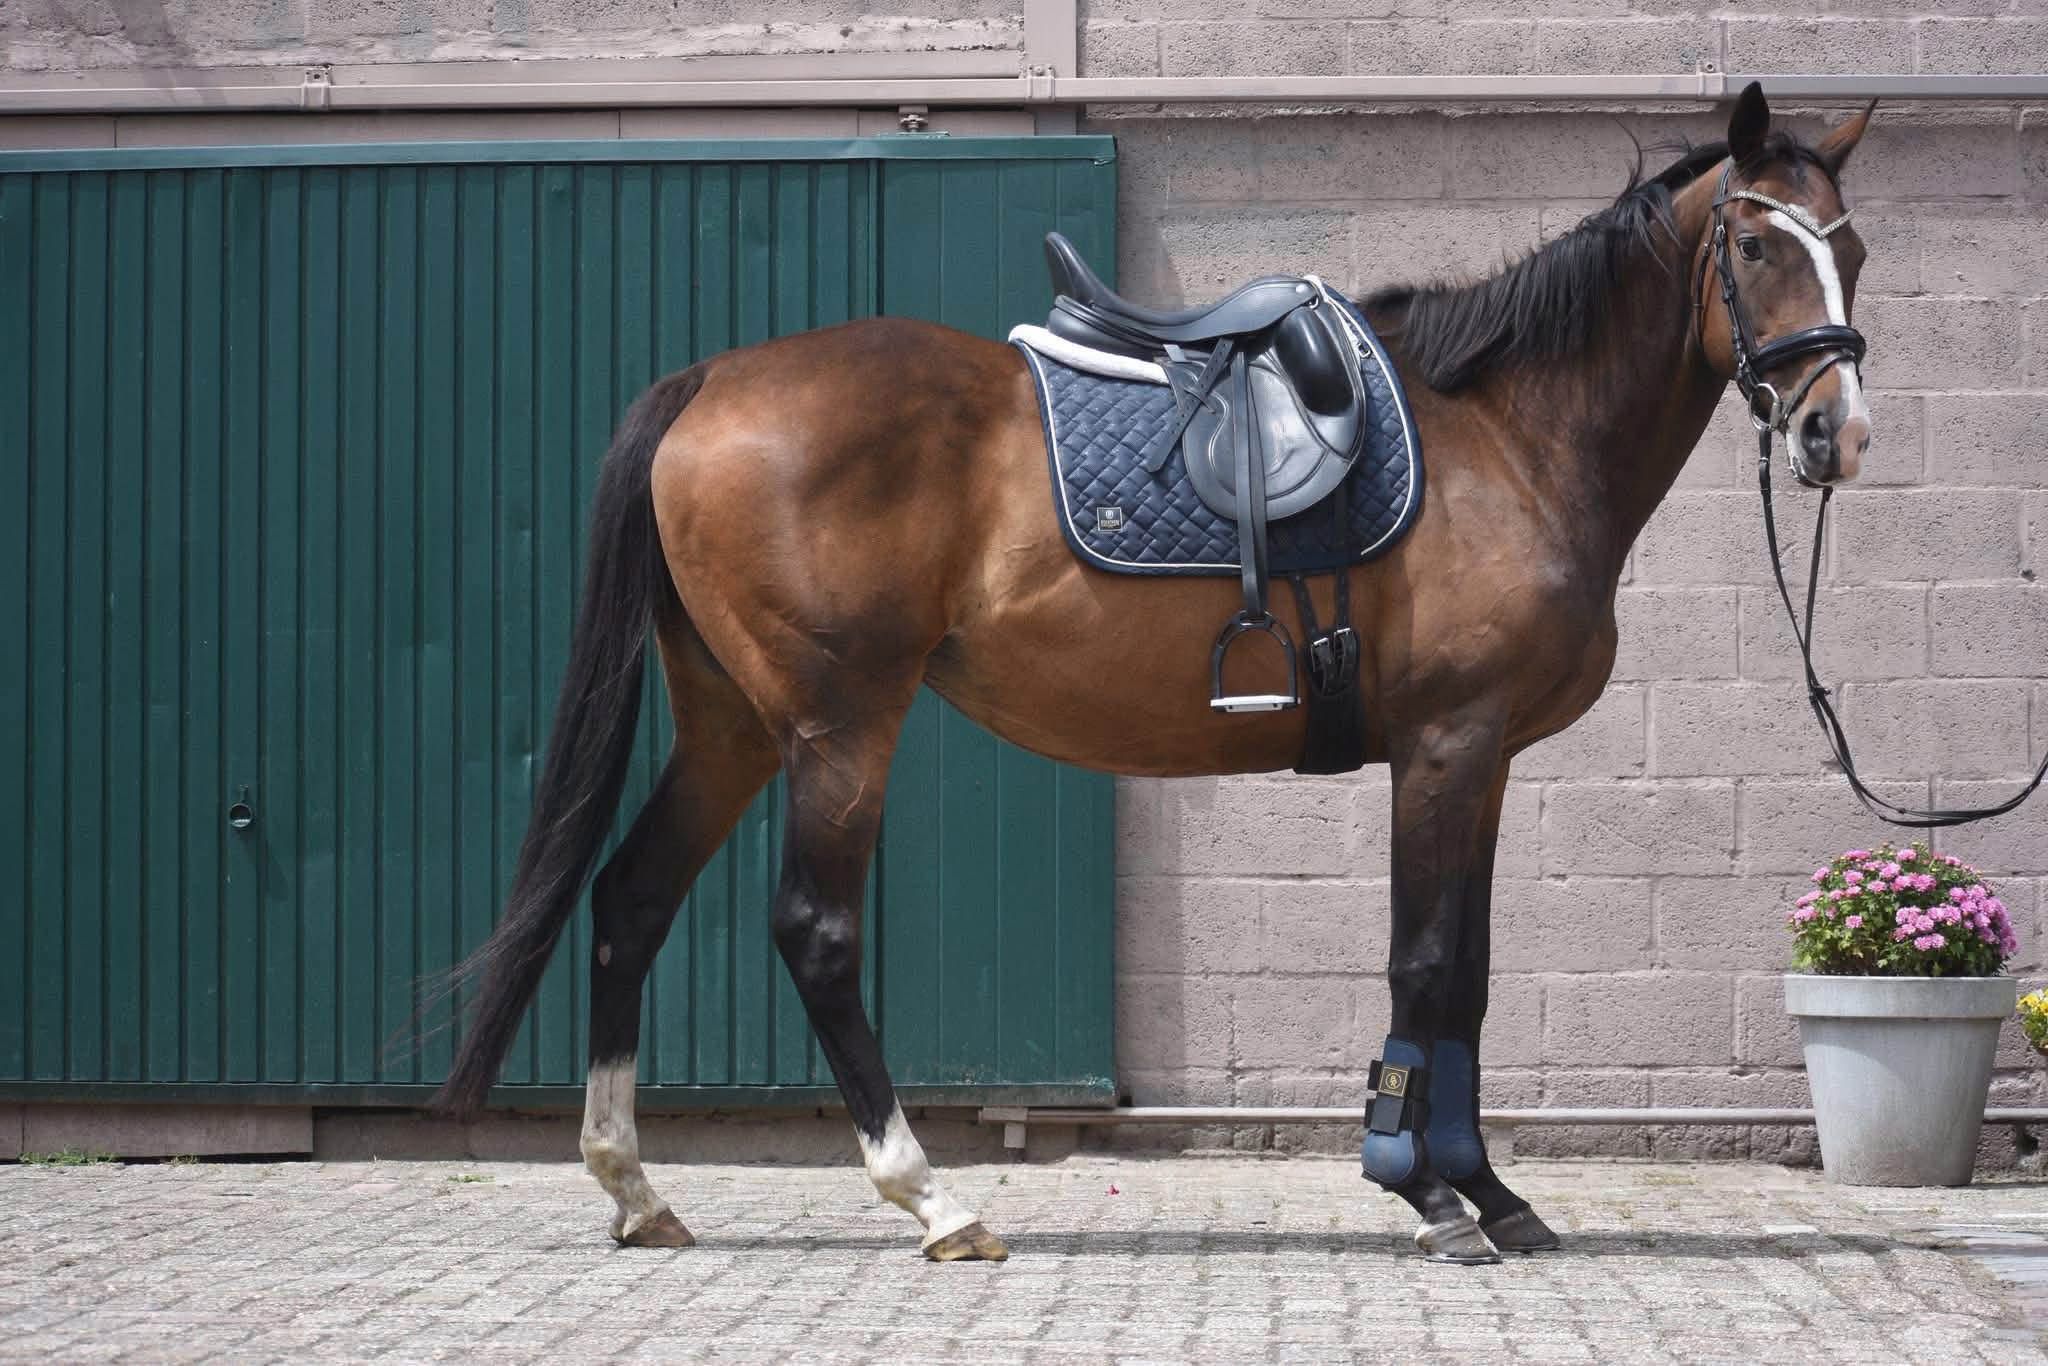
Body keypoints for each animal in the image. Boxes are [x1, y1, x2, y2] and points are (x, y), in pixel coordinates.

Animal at [428, 83, 1875, 1265]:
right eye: (1756, 246)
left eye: (1850, 248)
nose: (1834, 435)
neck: (1503, 439)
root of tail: (711, 381)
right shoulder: (1447, 744)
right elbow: (1425, 967)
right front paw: (1432, 1193)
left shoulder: (1483, 757)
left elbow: (1464, 966)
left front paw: (1488, 1191)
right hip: (839, 724)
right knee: (813, 932)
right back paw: (932, 1197)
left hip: (732, 722)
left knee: (629, 899)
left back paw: (635, 1185)